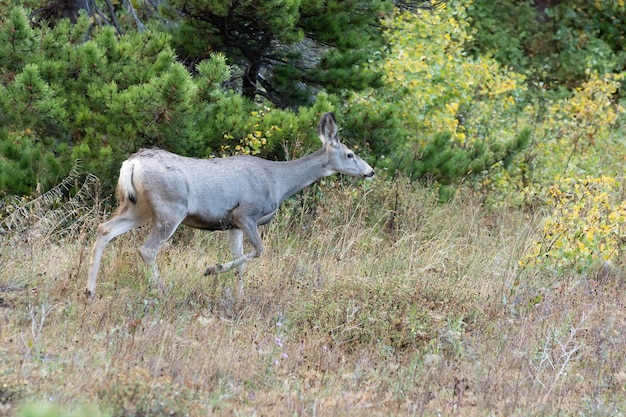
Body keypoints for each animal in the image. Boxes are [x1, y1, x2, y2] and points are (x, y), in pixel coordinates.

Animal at [85, 112, 372, 298]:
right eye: (350, 154)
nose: (370, 171)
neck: (278, 181)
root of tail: (131, 163)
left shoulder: (232, 225)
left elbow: (242, 263)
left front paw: (239, 298)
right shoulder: (246, 213)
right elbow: (260, 251)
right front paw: (211, 270)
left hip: (138, 207)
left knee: (104, 229)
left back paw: (89, 290)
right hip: (170, 209)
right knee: (146, 249)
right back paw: (161, 290)